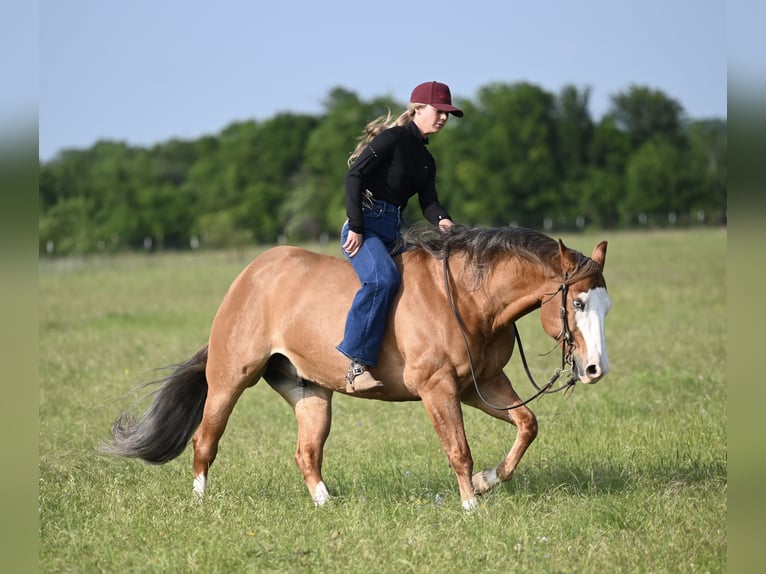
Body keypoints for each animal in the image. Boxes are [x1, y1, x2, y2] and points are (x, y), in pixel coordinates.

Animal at [104, 225, 610, 511]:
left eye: (606, 304)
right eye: (577, 302)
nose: (594, 369)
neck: (468, 299)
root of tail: (249, 277)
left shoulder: (480, 384)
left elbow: (527, 424)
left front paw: (488, 483)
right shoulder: (439, 389)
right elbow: (459, 450)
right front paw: (471, 505)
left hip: (310, 393)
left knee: (307, 453)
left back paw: (327, 505)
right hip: (230, 380)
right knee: (205, 442)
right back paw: (200, 502)